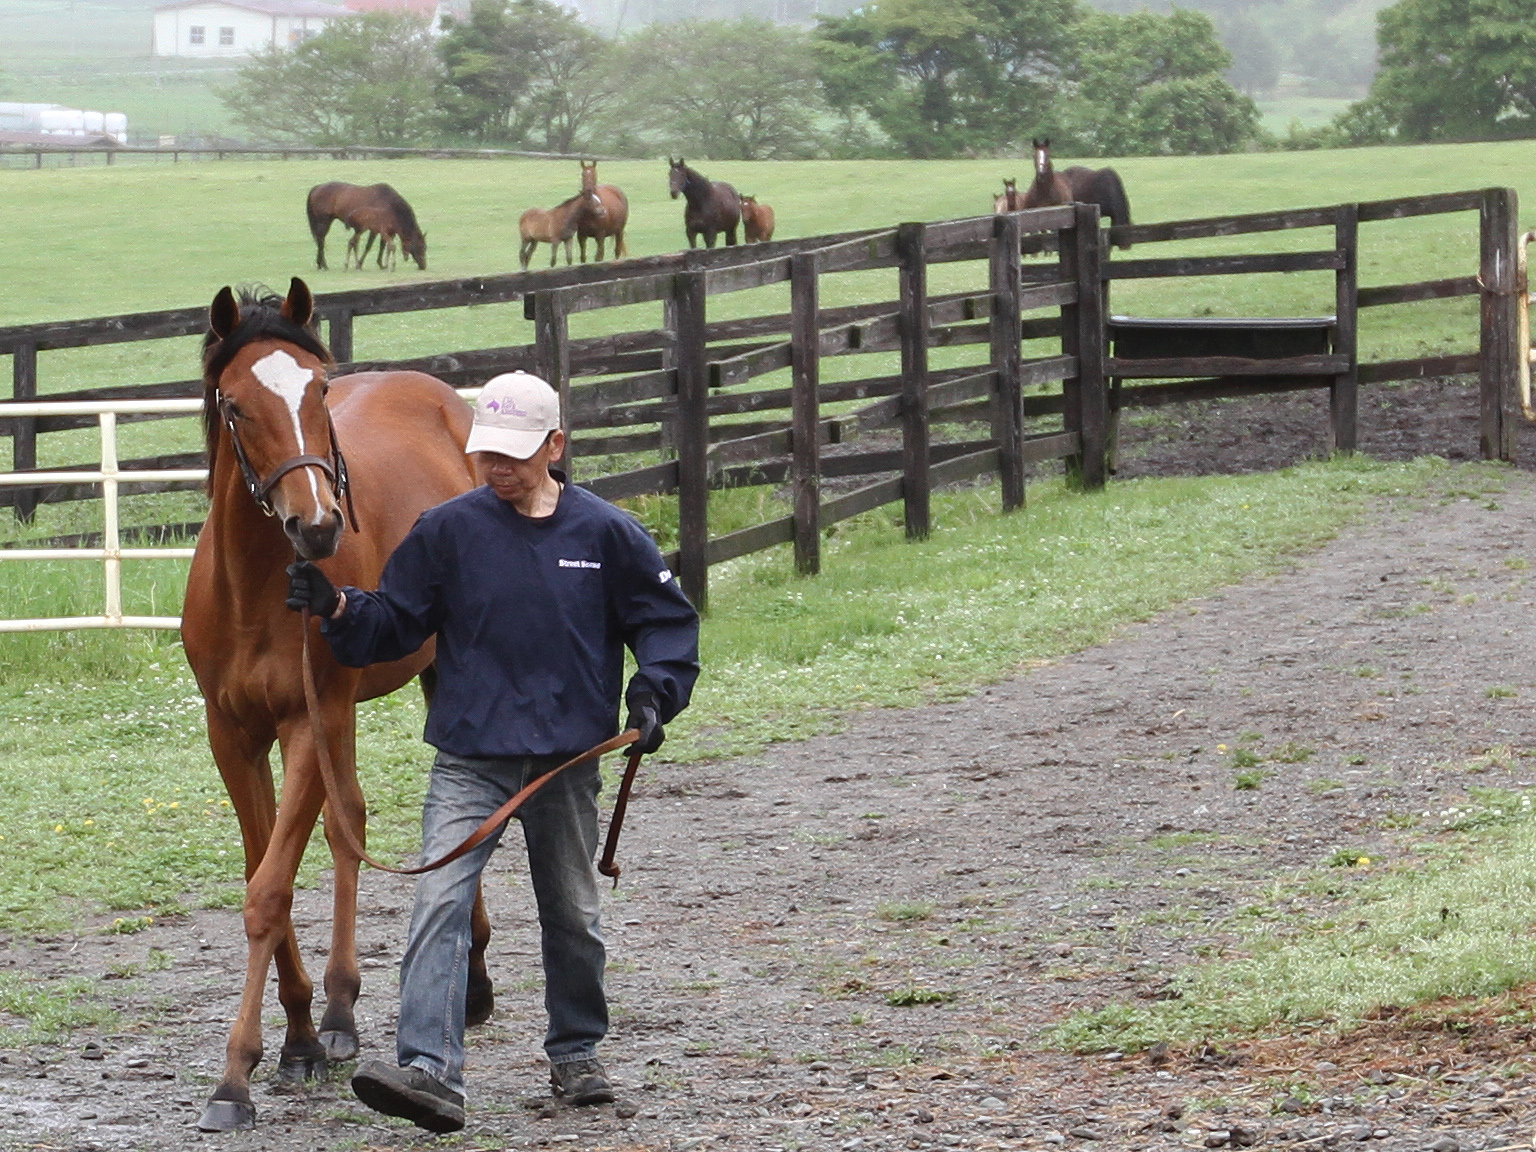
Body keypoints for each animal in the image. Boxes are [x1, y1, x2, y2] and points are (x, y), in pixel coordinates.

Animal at [183, 282, 491, 1136]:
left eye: (318, 390)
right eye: (235, 403)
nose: (316, 523)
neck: (257, 591)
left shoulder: (306, 723)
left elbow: (269, 890)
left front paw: (234, 1078)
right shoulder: (233, 737)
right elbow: (266, 871)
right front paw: (296, 1038)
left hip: (408, 683)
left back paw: (467, 983)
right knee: (351, 819)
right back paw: (341, 1012)